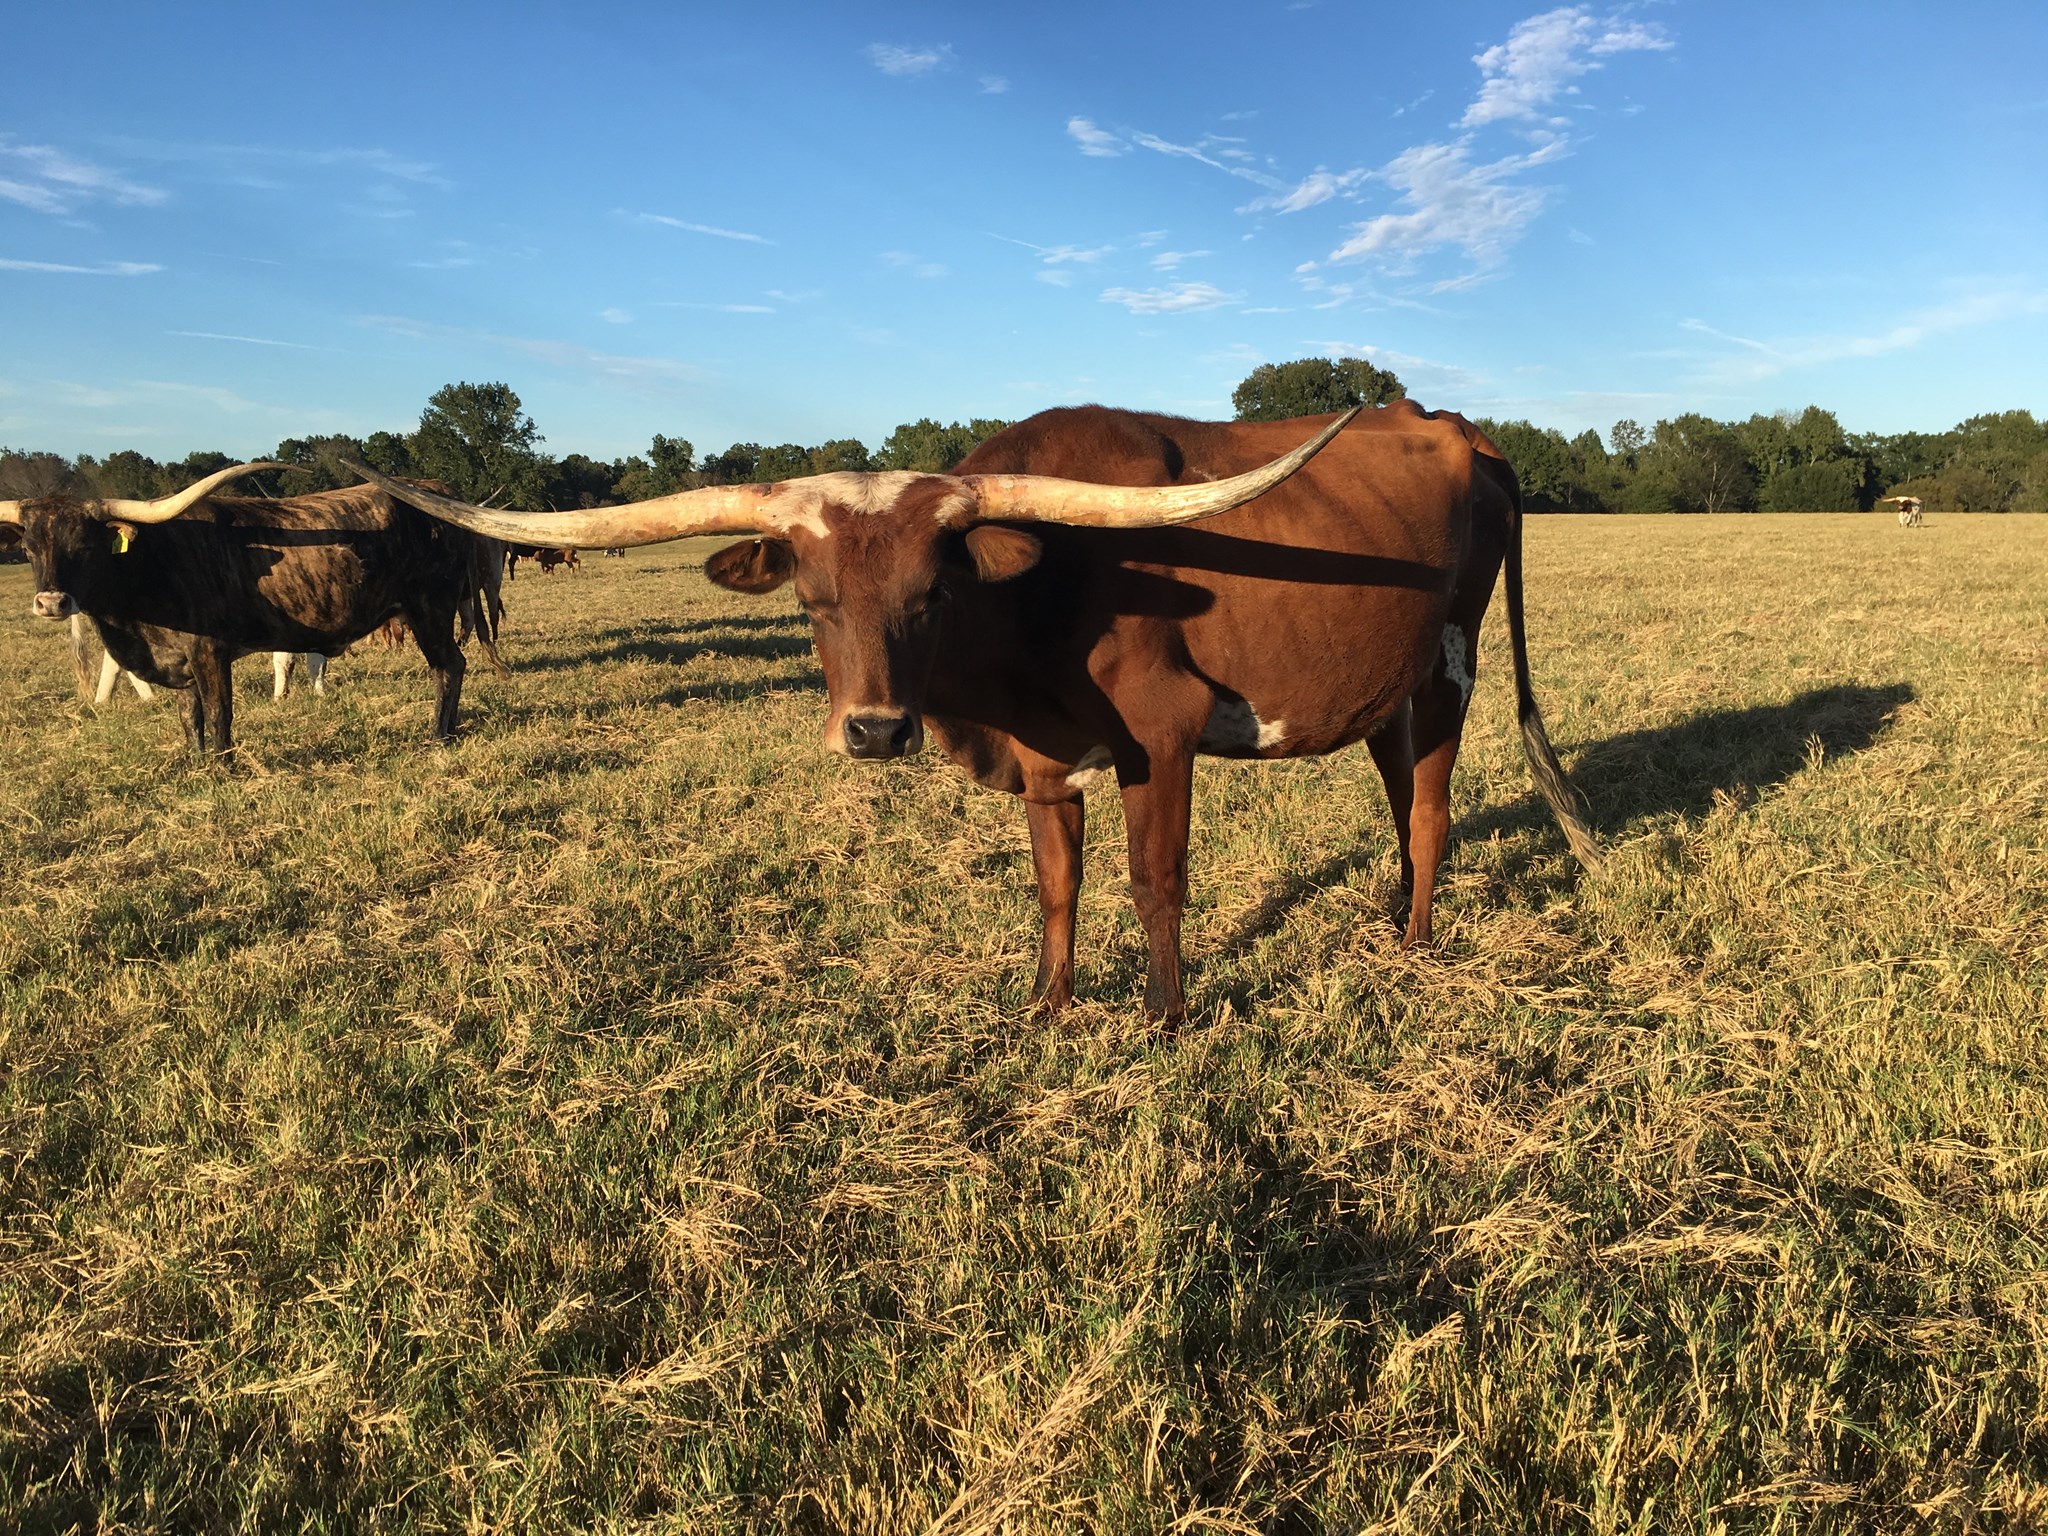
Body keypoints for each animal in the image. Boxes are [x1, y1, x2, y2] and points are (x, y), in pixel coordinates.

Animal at [1, 463, 501, 756]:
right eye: (28, 547)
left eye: (85, 544)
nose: (51, 602)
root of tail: (436, 490)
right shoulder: (180, 663)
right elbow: (191, 720)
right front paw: (197, 767)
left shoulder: (210, 653)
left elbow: (219, 714)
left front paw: (222, 770)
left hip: (431, 609)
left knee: (449, 666)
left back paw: (438, 736)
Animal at [344, 401, 1600, 1021]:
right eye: (809, 598)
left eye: (930, 590)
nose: (874, 731)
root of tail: (1457, 429)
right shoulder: (1045, 753)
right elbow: (1057, 884)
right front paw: (1045, 1007)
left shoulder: (1161, 734)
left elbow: (1154, 881)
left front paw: (1163, 1018)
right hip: (1386, 681)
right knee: (1396, 793)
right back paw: (1388, 917)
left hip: (1449, 665)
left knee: (1429, 805)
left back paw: (1417, 942)